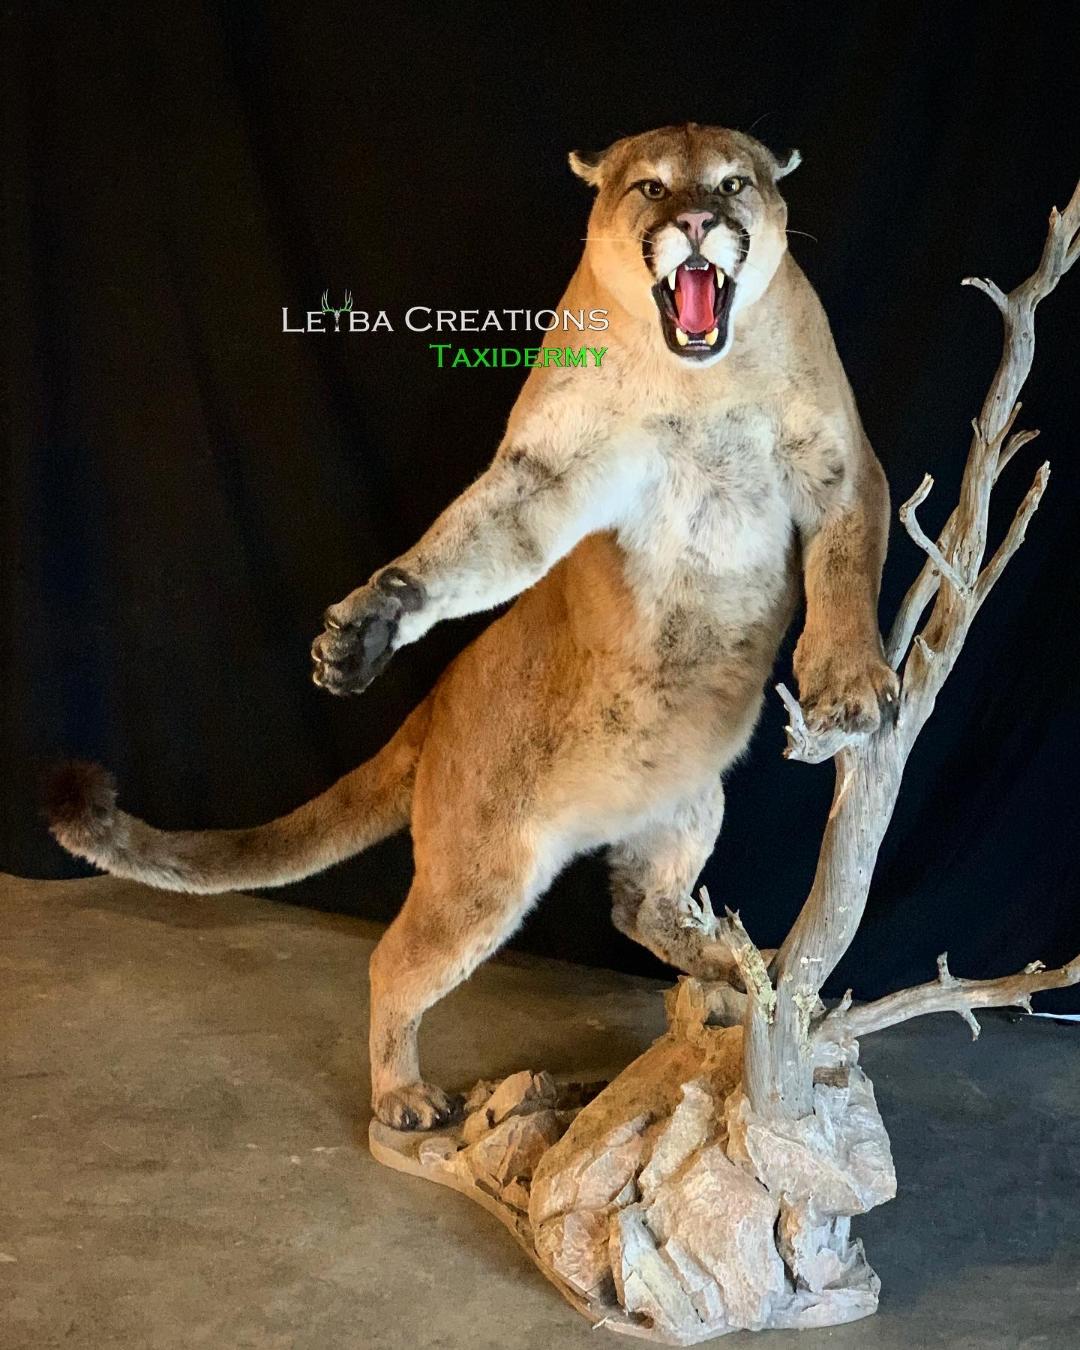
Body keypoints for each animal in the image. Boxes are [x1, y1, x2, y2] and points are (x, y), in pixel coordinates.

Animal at [48, 123, 897, 1130]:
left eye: (733, 183)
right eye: (652, 187)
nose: (696, 220)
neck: (697, 376)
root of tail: (437, 707)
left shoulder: (839, 464)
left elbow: (846, 572)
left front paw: (848, 686)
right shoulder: (551, 472)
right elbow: (476, 541)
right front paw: (366, 629)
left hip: (689, 800)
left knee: (638, 906)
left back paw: (729, 964)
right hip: (481, 871)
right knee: (396, 960)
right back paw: (403, 1096)